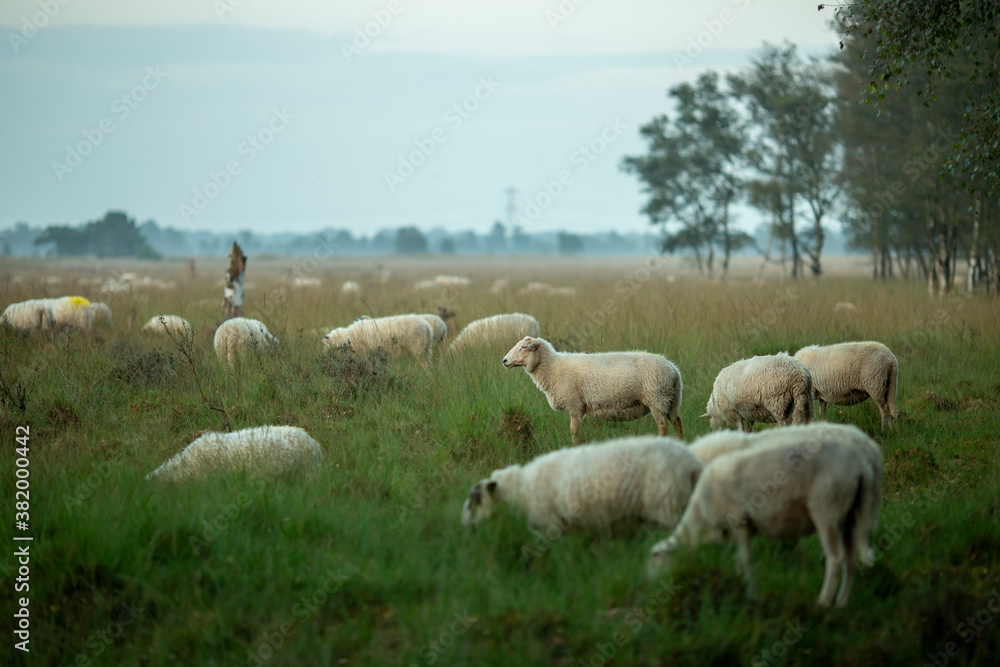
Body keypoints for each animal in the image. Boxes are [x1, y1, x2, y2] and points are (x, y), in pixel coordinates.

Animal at [461, 436, 703, 535]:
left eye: (475, 500)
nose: (466, 527)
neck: (520, 488)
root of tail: (693, 464)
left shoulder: (550, 523)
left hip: (668, 505)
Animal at [503, 336, 683, 444]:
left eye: (524, 347)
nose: (504, 361)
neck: (553, 368)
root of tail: (674, 370)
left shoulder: (575, 405)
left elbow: (574, 431)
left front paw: (575, 447)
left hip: (657, 399)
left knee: (663, 426)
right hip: (671, 400)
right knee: (677, 422)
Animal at [647, 435, 878, 608]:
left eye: (656, 557)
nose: (650, 584)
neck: (700, 518)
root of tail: (861, 466)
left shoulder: (739, 522)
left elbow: (745, 560)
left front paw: (750, 596)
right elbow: (740, 560)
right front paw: (742, 587)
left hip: (827, 508)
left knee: (836, 558)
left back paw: (822, 604)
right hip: (849, 514)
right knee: (850, 558)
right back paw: (841, 603)